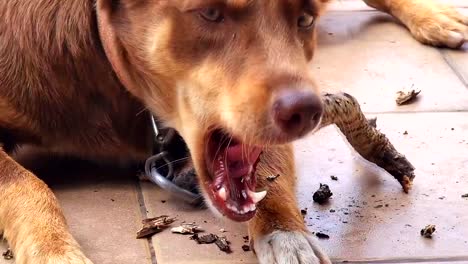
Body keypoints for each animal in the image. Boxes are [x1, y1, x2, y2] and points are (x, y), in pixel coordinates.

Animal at [0, 0, 466, 262]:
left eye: (301, 20)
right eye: (209, 14)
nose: (307, 111)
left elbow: (265, 175)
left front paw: (286, 235)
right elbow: (25, 183)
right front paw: (55, 250)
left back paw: (435, 17)